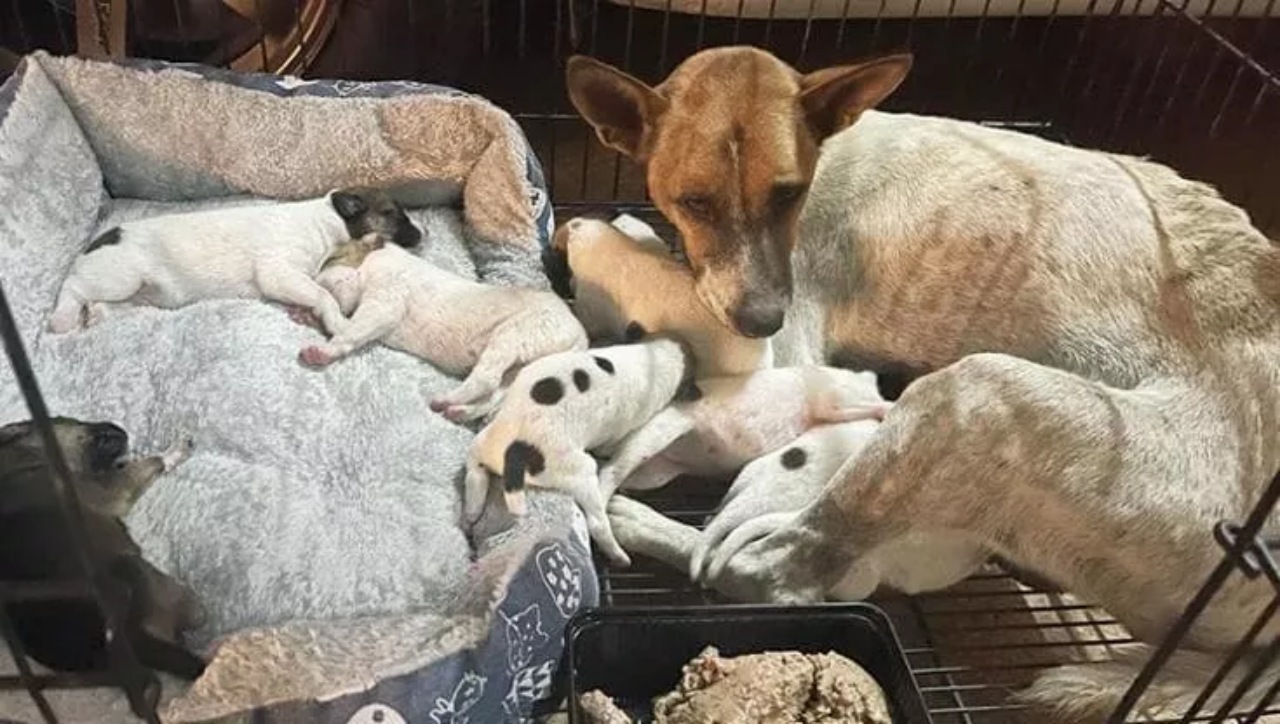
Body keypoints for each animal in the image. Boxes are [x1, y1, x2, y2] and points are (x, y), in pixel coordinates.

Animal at [0, 419, 204, 680]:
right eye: (102, 439)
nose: (122, 432)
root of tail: (134, 643)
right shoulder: (108, 489)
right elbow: (147, 464)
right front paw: (173, 452)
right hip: (147, 575)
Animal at [49, 185, 422, 335]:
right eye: (392, 213)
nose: (422, 235)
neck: (326, 219)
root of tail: (98, 240)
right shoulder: (279, 273)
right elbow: (323, 296)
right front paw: (338, 322)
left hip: (137, 296)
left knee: (101, 303)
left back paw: (97, 315)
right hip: (119, 277)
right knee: (73, 288)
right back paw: (63, 318)